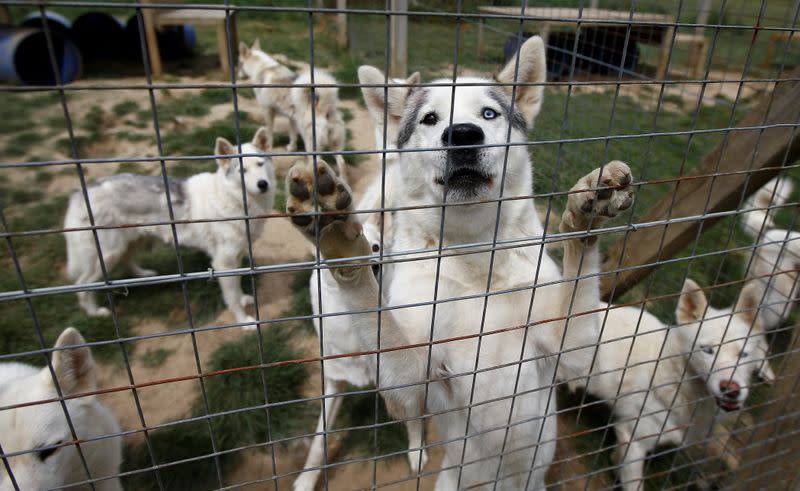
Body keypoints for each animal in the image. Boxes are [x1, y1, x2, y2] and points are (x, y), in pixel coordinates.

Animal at [63, 130, 276, 326]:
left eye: (260, 164)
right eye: (242, 170)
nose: (263, 184)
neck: (233, 198)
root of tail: (81, 193)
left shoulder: (236, 256)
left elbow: (238, 286)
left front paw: (243, 299)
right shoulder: (223, 262)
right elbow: (232, 298)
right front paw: (244, 322)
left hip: (132, 242)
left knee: (126, 260)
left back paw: (144, 275)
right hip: (107, 256)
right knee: (82, 286)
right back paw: (94, 313)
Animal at [284, 36, 636, 490]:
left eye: (489, 113)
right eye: (430, 119)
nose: (464, 134)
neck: (475, 260)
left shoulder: (569, 350)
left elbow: (579, 268)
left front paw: (583, 213)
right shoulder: (408, 379)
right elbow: (375, 315)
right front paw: (342, 241)